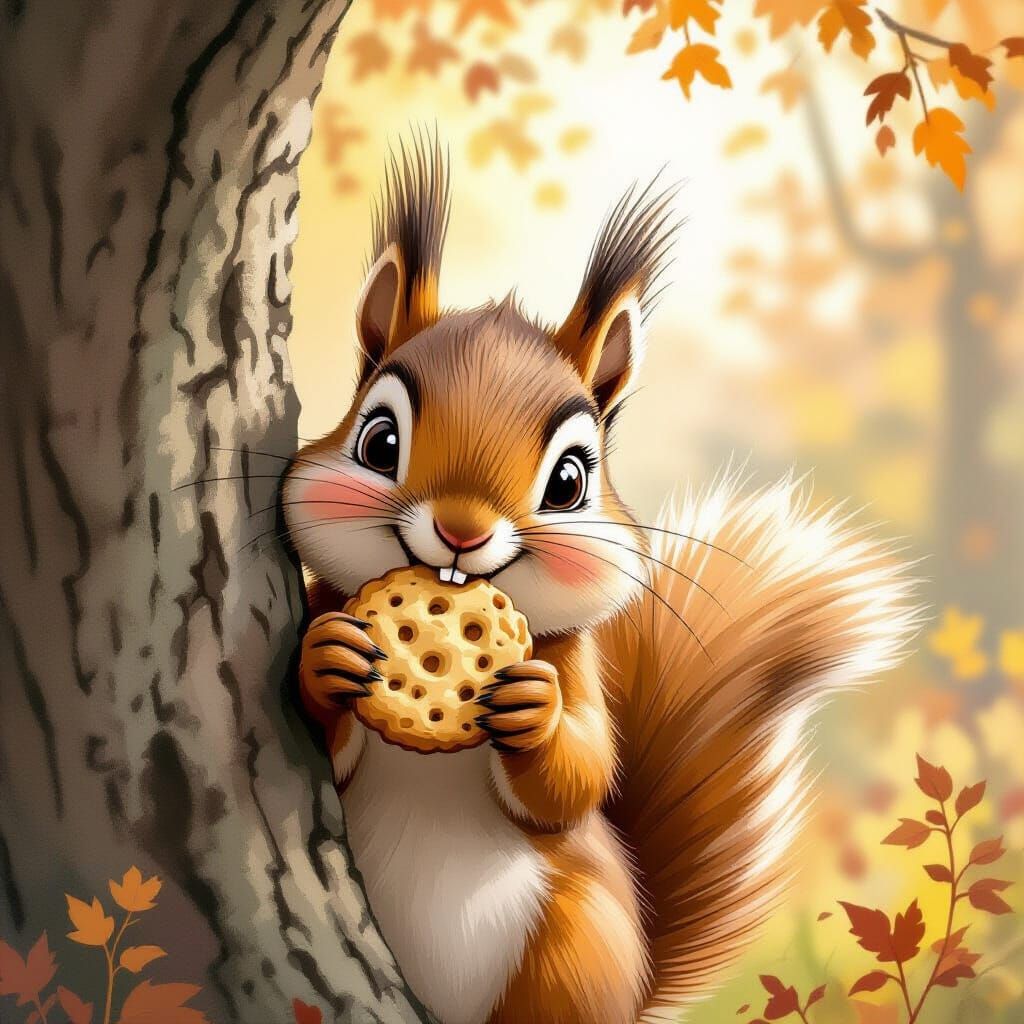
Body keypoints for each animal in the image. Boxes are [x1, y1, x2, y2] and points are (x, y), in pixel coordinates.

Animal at [283, 136, 918, 1024]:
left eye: (570, 481)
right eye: (378, 441)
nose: (462, 532)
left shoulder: (574, 659)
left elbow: (580, 777)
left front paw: (536, 713)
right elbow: (326, 736)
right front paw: (329, 659)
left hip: (569, 954)